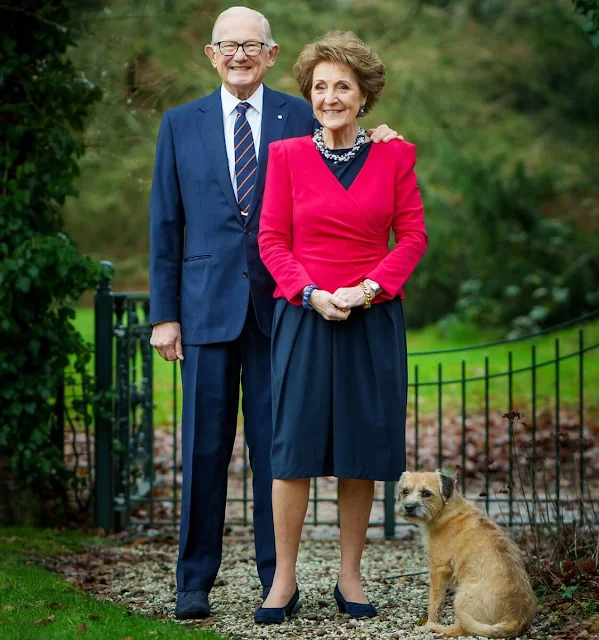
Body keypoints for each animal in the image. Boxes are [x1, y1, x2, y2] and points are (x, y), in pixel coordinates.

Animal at [400, 468, 536, 636]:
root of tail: (517, 619)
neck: (447, 512)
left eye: (426, 493)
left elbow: (435, 601)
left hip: (460, 598)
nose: (408, 507)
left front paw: (428, 623)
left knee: (460, 629)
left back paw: (435, 627)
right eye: (405, 491)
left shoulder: (438, 568)